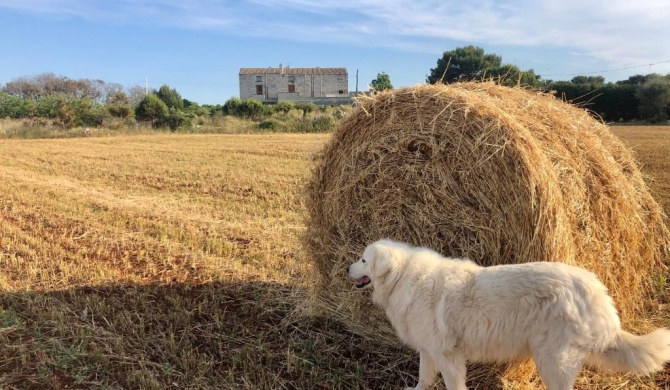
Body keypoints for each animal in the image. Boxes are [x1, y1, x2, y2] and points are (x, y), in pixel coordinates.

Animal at [350, 238, 670, 390]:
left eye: (363, 260)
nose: (345, 268)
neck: (403, 277)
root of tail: (596, 290)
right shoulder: (429, 351)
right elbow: (423, 378)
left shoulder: (448, 355)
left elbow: (453, 384)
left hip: (554, 360)